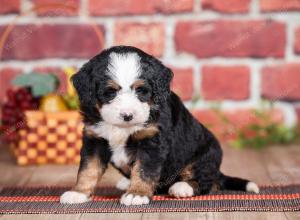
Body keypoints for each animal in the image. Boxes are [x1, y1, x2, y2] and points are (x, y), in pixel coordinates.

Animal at [59, 45, 258, 205]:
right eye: (110, 92)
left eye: (141, 90)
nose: (127, 115)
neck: (122, 129)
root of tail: (218, 171)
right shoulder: (95, 138)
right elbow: (88, 169)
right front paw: (78, 193)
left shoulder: (151, 142)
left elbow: (144, 170)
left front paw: (137, 194)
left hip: (205, 154)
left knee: (207, 183)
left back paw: (182, 187)